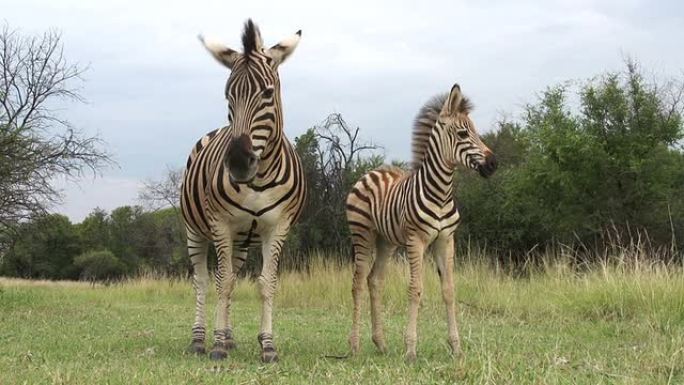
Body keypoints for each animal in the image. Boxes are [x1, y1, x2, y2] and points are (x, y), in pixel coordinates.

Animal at [183, 20, 306, 364]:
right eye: (228, 95)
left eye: (267, 93)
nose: (238, 162)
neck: (259, 179)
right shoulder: (221, 224)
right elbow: (221, 284)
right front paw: (216, 347)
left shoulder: (277, 227)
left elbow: (265, 284)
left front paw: (268, 346)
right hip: (195, 230)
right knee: (203, 281)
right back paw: (201, 339)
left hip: (241, 240)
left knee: (232, 277)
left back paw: (227, 336)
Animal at [348, 82, 496, 362]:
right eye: (463, 133)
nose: (494, 164)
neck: (441, 193)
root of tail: (372, 171)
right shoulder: (416, 240)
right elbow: (415, 289)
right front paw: (410, 349)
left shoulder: (445, 240)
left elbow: (449, 290)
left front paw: (456, 347)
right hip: (362, 235)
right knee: (358, 282)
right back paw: (355, 345)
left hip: (386, 241)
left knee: (375, 280)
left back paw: (380, 343)